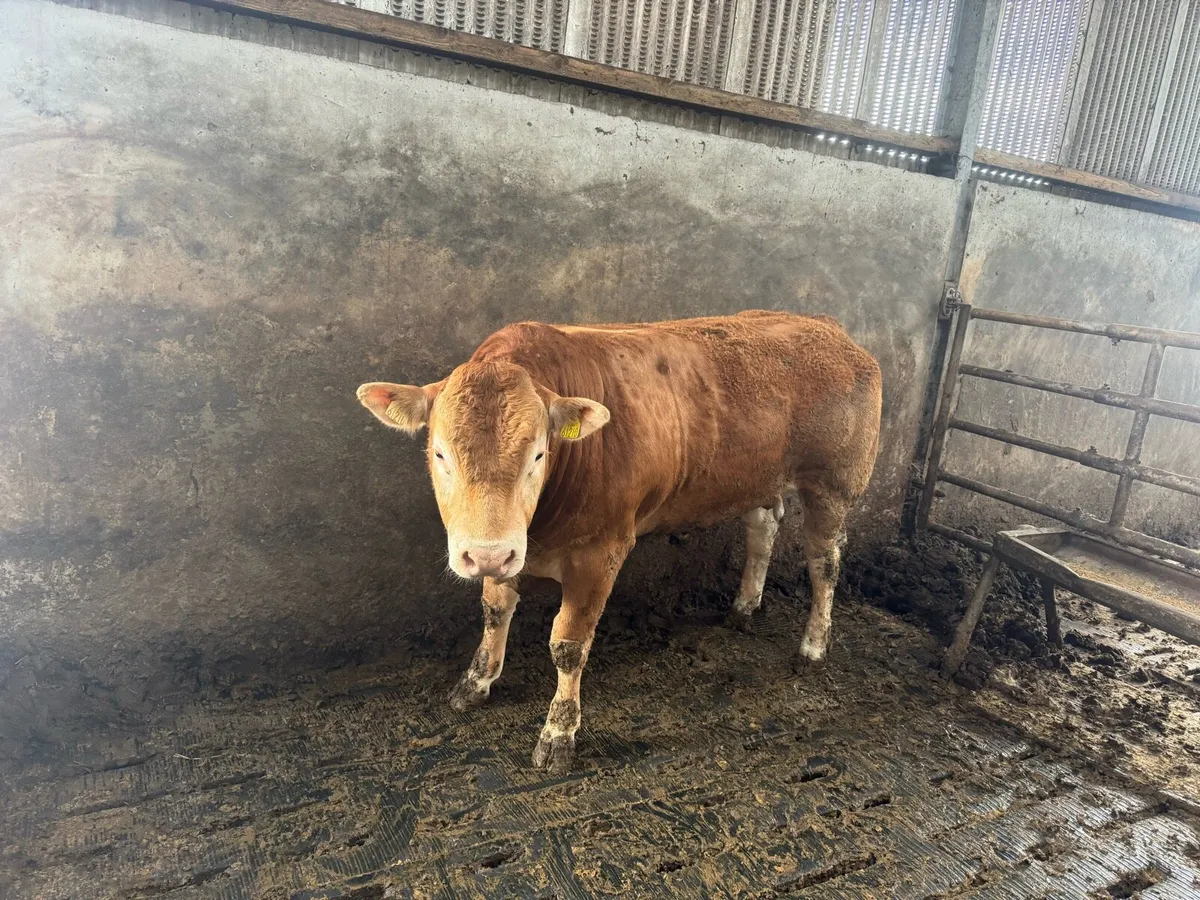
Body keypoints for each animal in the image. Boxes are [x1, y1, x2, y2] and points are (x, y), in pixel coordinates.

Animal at [358, 311, 882, 774]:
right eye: (439, 453)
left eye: (539, 454)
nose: (486, 553)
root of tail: (827, 327)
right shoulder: (512, 553)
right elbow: (494, 611)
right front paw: (476, 680)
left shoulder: (600, 551)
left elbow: (568, 644)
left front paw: (559, 733)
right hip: (755, 476)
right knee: (762, 528)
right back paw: (744, 607)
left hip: (833, 484)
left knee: (824, 561)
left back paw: (812, 647)